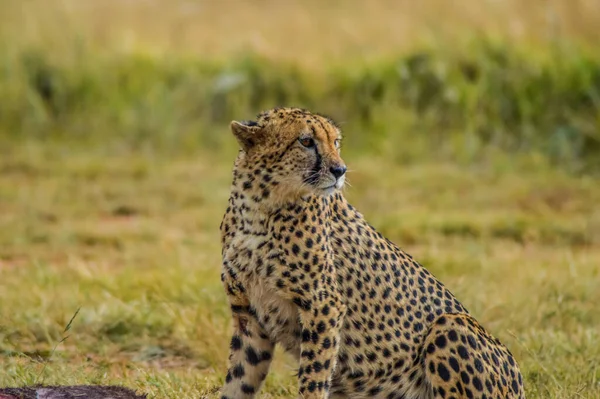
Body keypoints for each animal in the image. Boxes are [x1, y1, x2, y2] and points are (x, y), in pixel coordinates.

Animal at [218, 107, 524, 399]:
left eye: (335, 142)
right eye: (306, 141)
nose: (340, 170)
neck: (258, 208)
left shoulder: (323, 307)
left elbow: (313, 381)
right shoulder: (249, 318)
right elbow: (239, 381)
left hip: (450, 324)